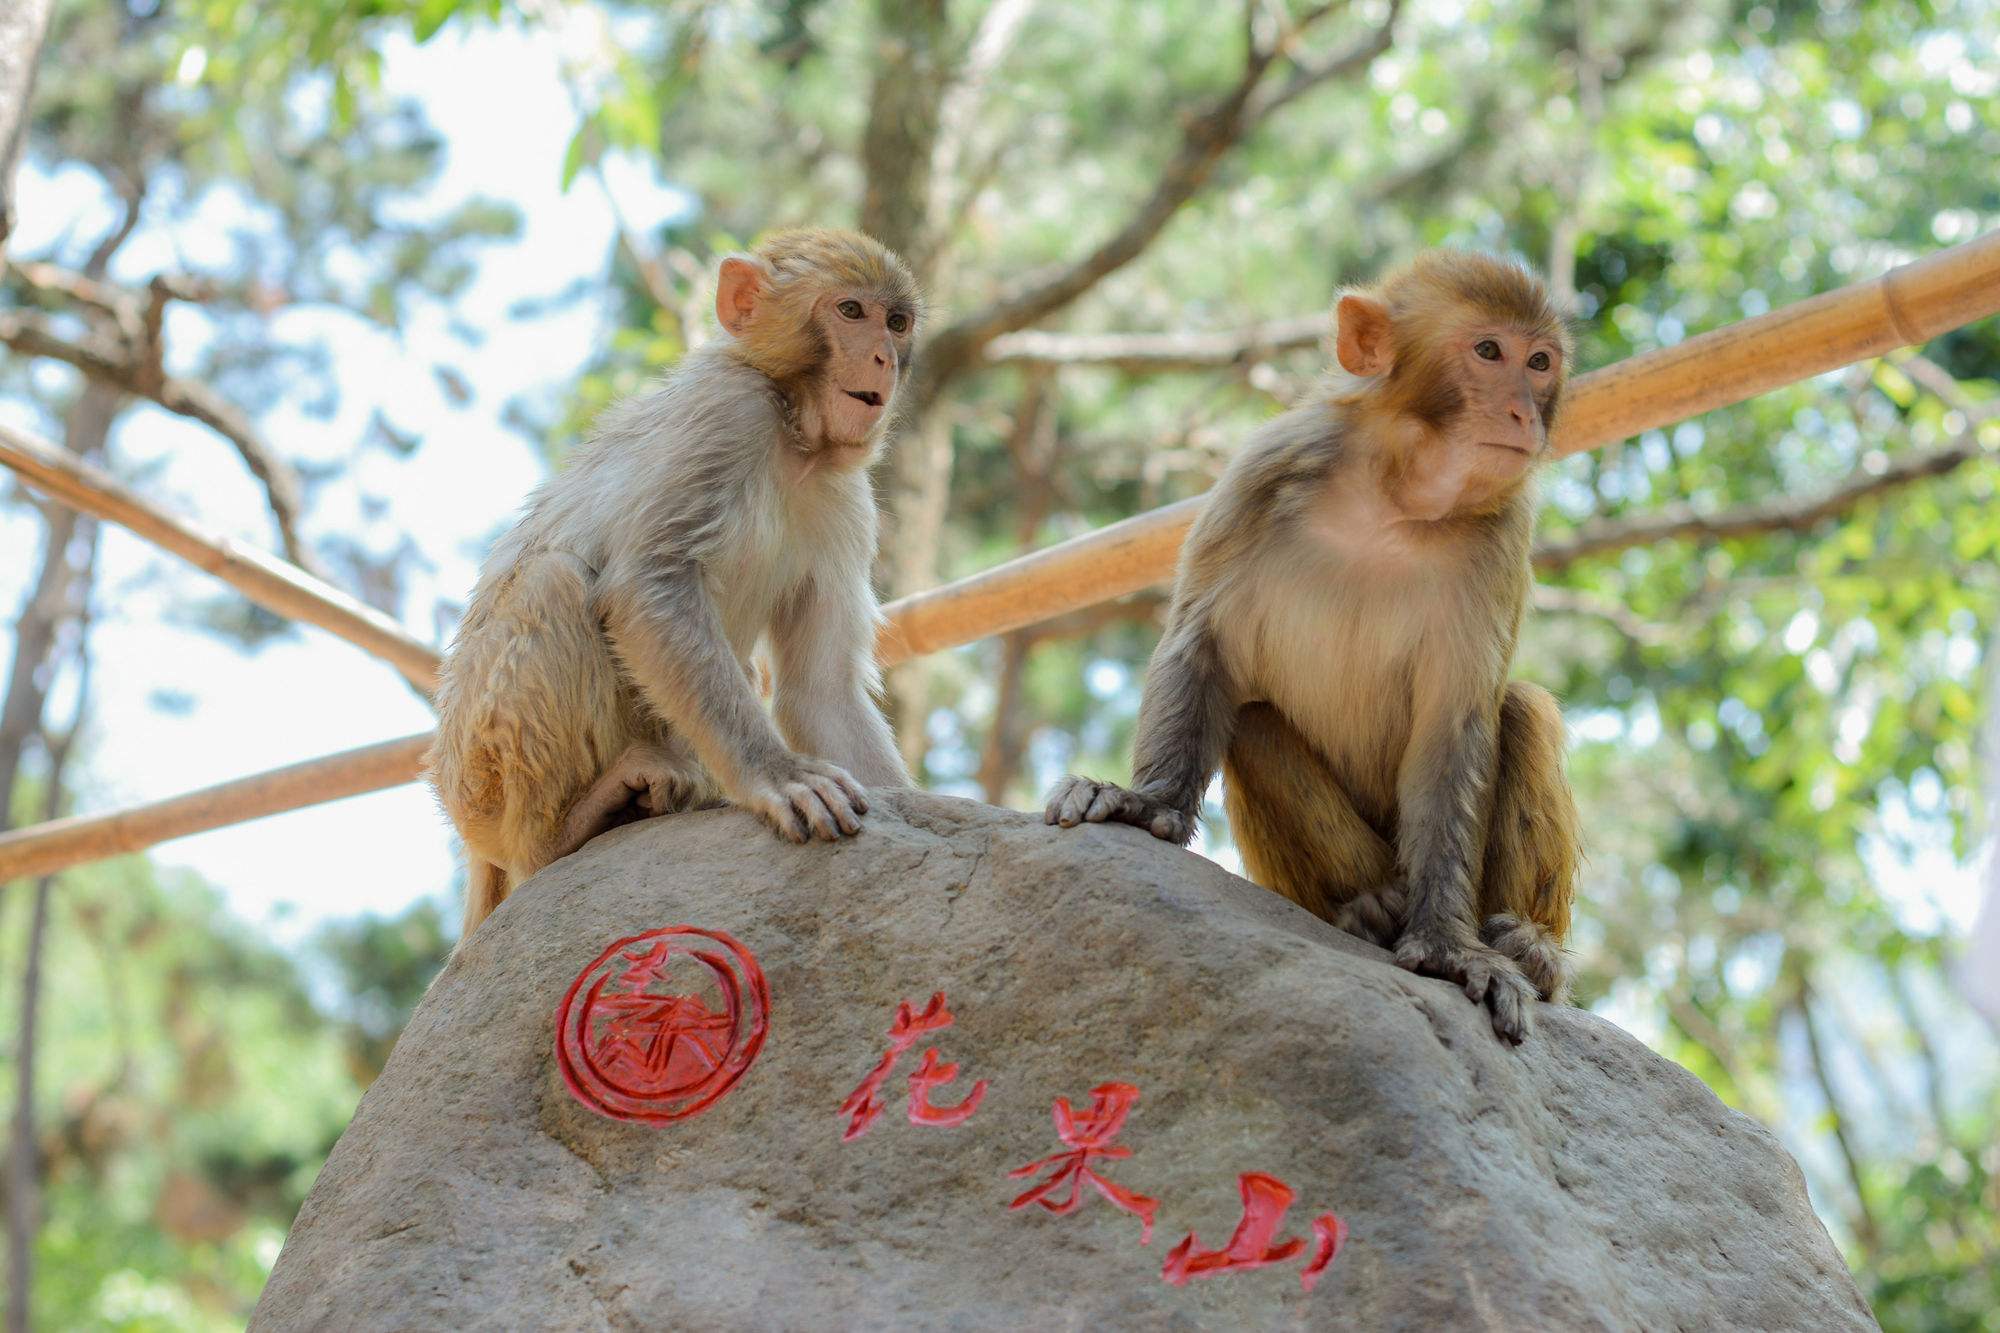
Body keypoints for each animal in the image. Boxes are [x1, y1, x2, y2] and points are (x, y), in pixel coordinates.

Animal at [430, 228, 920, 932]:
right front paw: (778, 775)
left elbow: (820, 691)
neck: (795, 439)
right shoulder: (728, 413)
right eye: (851, 311)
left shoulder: (845, 499)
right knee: (553, 581)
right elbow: (648, 584)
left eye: (897, 322)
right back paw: (558, 834)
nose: (883, 357)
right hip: (479, 782)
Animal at [1048, 249, 1576, 1040]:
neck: (1394, 500)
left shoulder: (1502, 536)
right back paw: (1367, 907)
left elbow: (1455, 725)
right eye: (1489, 352)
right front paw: (1148, 801)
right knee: (1255, 721)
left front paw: (1448, 946)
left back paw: (1527, 945)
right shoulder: (1265, 471)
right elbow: (1202, 640)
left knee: (1523, 710)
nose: (1523, 412)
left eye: (1540, 363)